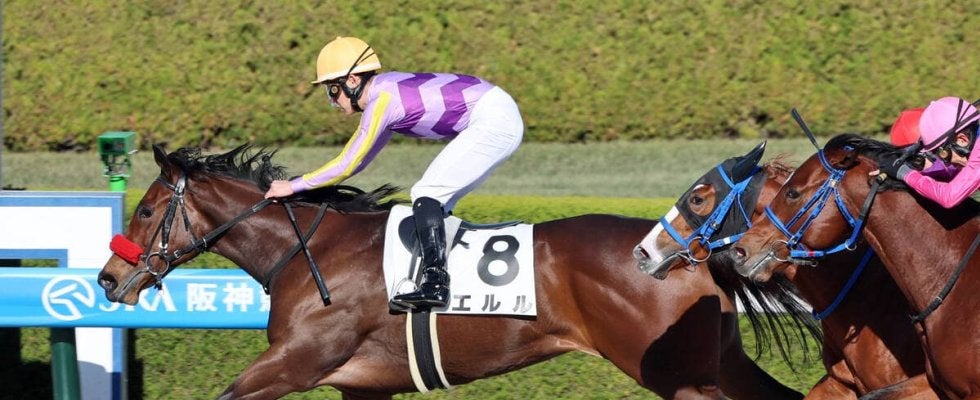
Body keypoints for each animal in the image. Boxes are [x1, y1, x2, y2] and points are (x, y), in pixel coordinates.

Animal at [97, 145, 806, 400]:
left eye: (148, 209)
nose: (106, 279)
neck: (309, 250)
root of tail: (687, 250)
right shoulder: (364, 386)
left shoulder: (296, 363)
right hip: (717, 361)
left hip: (674, 373)